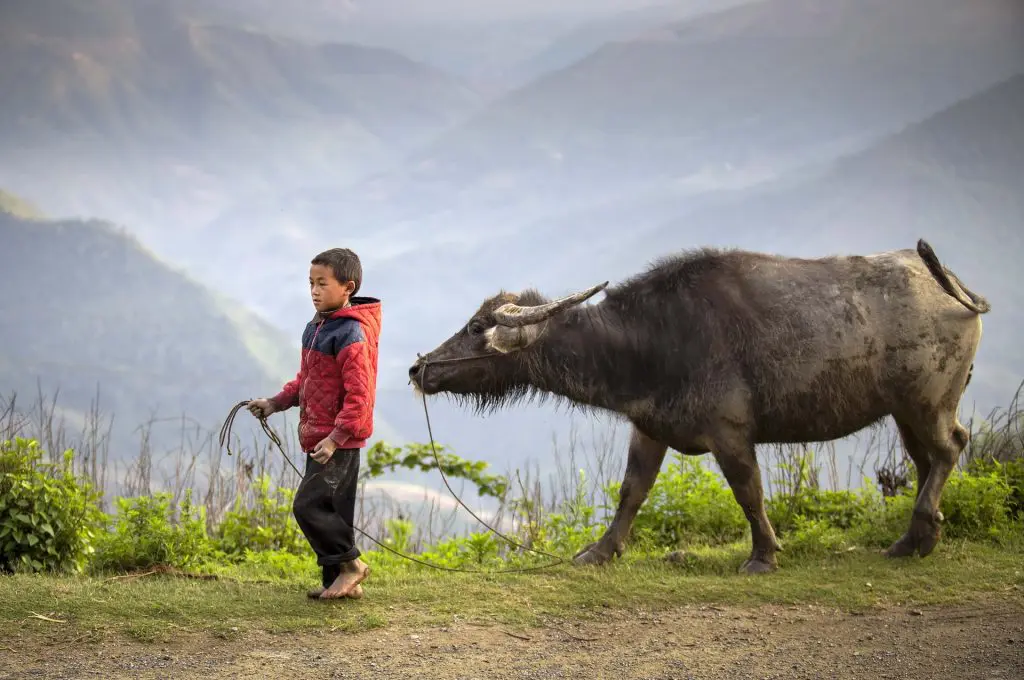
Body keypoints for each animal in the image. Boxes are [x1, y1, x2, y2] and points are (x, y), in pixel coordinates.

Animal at [408, 240, 990, 573]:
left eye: (477, 327)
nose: (419, 369)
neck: (652, 340)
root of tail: (949, 285)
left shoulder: (730, 433)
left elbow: (749, 492)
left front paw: (762, 556)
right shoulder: (649, 427)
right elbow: (631, 492)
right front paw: (599, 552)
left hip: (929, 401)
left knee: (950, 448)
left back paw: (920, 530)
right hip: (905, 410)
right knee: (926, 459)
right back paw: (913, 540)